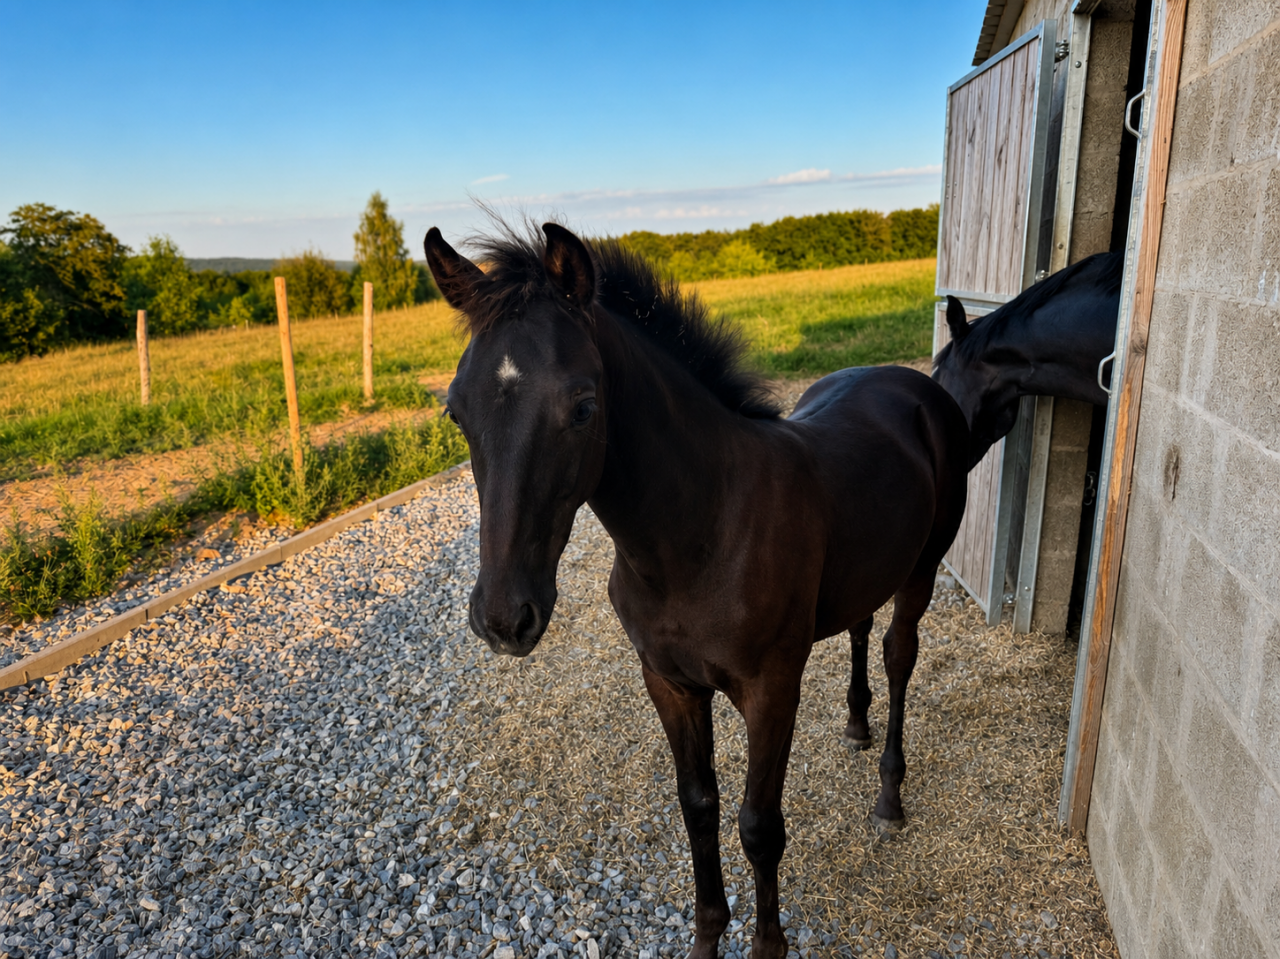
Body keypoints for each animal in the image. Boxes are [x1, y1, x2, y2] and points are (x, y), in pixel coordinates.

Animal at [423, 221, 970, 959]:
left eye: (583, 407)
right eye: (456, 411)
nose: (505, 618)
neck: (702, 533)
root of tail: (916, 386)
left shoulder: (772, 689)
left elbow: (759, 825)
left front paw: (769, 946)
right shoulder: (669, 682)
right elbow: (698, 806)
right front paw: (708, 935)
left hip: (923, 567)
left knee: (898, 655)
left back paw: (889, 795)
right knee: (860, 629)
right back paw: (855, 726)